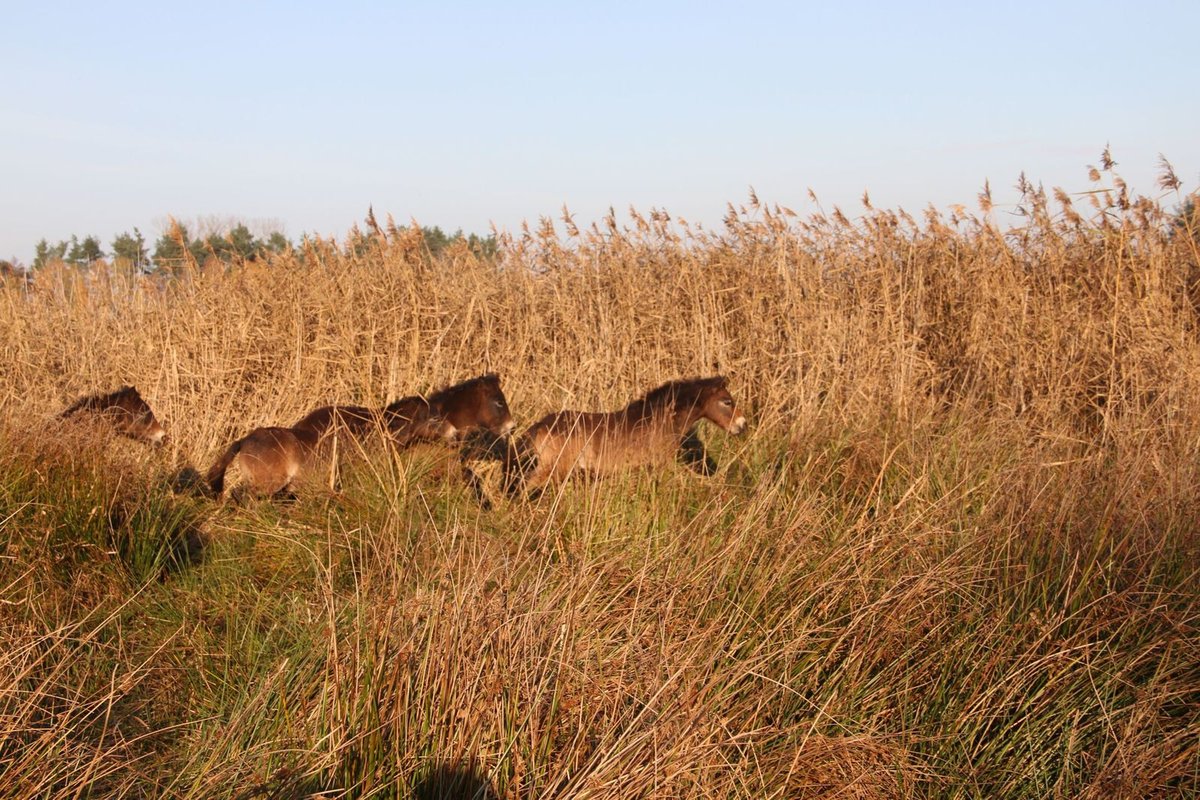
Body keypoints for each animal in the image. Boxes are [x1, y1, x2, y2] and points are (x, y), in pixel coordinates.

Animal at [501, 376, 744, 494]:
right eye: (727, 402)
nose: (742, 425)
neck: (659, 419)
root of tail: (541, 425)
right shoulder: (660, 464)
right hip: (551, 469)